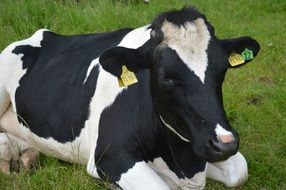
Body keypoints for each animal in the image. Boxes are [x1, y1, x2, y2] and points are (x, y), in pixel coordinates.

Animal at [0, 6, 260, 190]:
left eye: (222, 70)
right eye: (166, 77)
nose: (225, 143)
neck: (184, 162)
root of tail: (42, 34)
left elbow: (240, 170)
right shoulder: (110, 155)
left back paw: (26, 154)